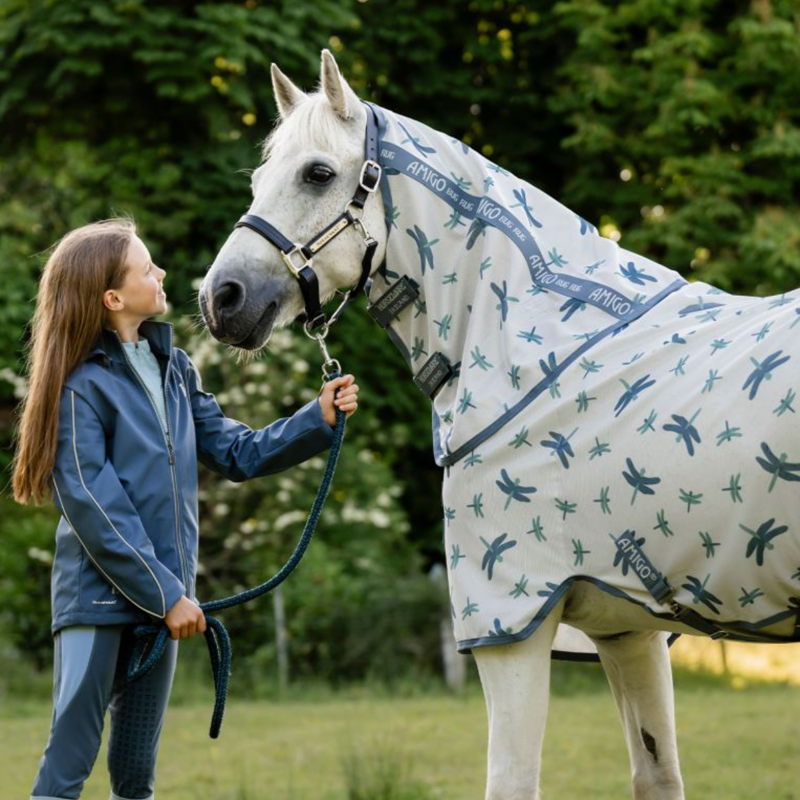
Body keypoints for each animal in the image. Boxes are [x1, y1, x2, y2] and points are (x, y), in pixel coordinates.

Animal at [199, 50, 800, 800]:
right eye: (259, 178)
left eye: (317, 173)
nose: (220, 298)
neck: (532, 352)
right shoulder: (628, 632)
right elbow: (656, 775)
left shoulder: (511, 629)